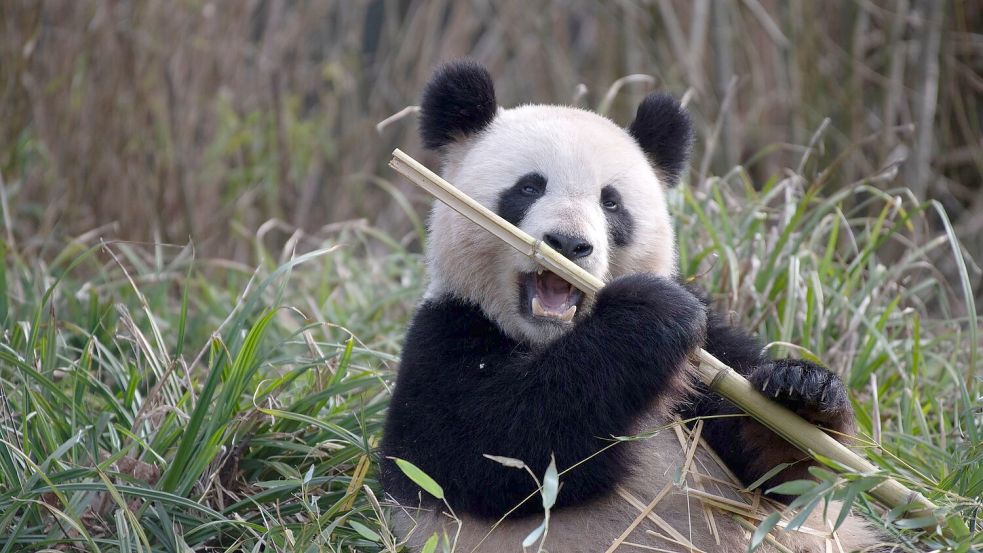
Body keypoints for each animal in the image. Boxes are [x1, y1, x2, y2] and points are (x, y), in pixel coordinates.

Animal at [378, 61, 884, 552]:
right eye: (528, 188)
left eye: (611, 202)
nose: (569, 244)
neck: (551, 339)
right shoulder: (447, 332)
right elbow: (482, 451)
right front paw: (649, 314)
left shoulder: (711, 354)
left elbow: (782, 479)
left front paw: (801, 392)